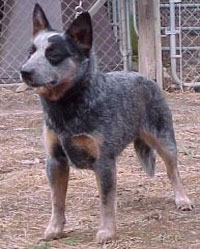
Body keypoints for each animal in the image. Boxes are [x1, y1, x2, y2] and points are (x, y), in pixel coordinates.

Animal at [20, 3, 194, 243]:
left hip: (165, 140)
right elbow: (57, 201)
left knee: (173, 171)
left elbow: (105, 201)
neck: (67, 108)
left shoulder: (104, 161)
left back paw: (182, 199)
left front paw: (106, 231)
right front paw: (54, 229)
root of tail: (145, 77)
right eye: (31, 52)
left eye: (53, 53)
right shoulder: (55, 161)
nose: (24, 71)